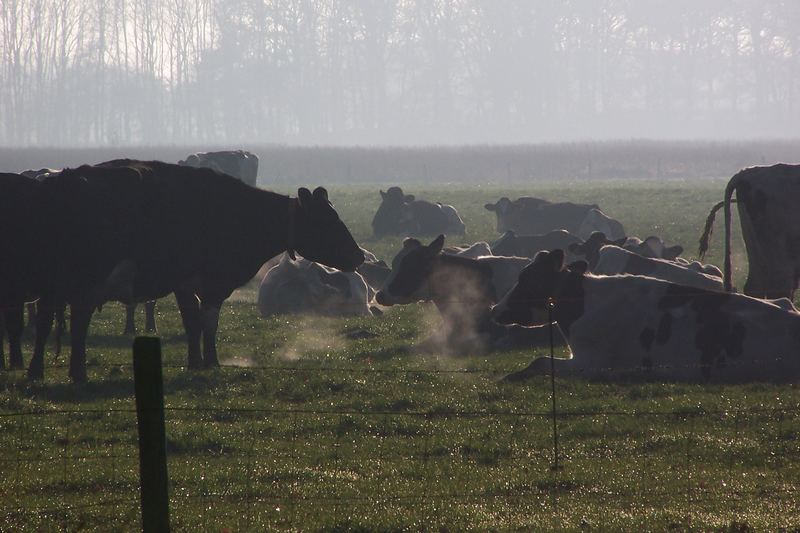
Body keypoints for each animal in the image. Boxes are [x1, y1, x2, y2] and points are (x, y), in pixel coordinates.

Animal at [25, 160, 362, 380]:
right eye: (327, 222)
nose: (358, 256)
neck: (239, 212)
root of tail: (64, 179)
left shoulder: (186, 283)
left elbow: (193, 324)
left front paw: (195, 362)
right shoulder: (211, 281)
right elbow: (208, 323)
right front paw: (211, 362)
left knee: (45, 320)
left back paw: (38, 371)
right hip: (86, 276)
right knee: (77, 321)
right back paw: (76, 371)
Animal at [490, 249, 800, 382]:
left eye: (527, 279)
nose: (494, 310)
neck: (584, 300)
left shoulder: (591, 362)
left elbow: (540, 361)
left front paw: (509, 377)